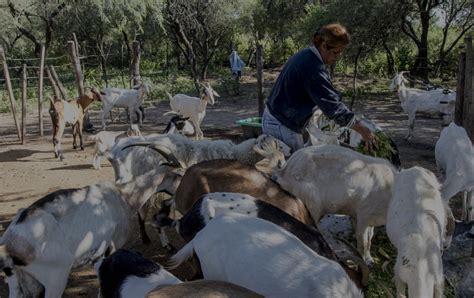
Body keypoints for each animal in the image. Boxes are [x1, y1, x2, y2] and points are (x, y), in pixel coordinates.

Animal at [0, 163, 180, 298]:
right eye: (178, 175)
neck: (123, 195)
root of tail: (9, 244)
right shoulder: (112, 247)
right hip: (56, 278)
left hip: (18, 279)